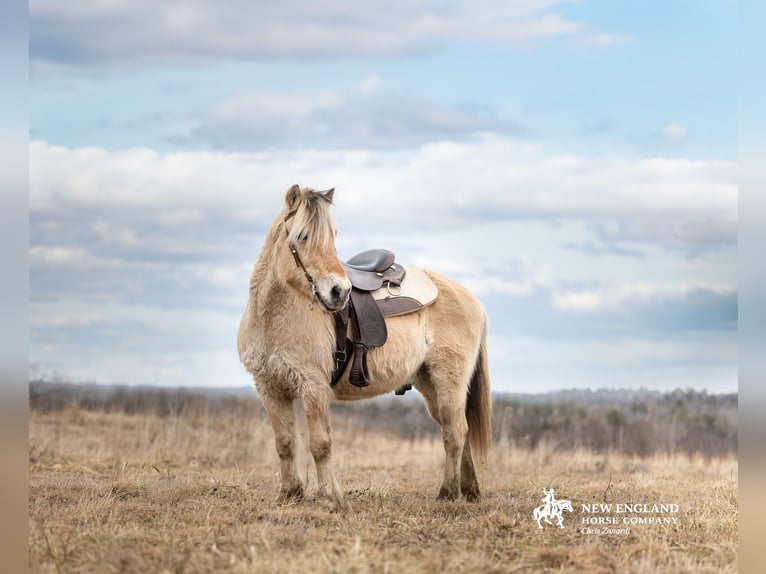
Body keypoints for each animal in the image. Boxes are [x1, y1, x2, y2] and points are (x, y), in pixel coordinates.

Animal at [237, 184, 491, 509]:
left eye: (333, 236)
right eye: (302, 236)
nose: (340, 291)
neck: (274, 316)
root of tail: (471, 298)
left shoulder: (312, 387)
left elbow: (320, 444)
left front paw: (327, 500)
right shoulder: (269, 388)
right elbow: (285, 443)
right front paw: (290, 494)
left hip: (449, 382)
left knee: (455, 433)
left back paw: (447, 493)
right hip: (430, 385)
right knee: (459, 429)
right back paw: (469, 491)